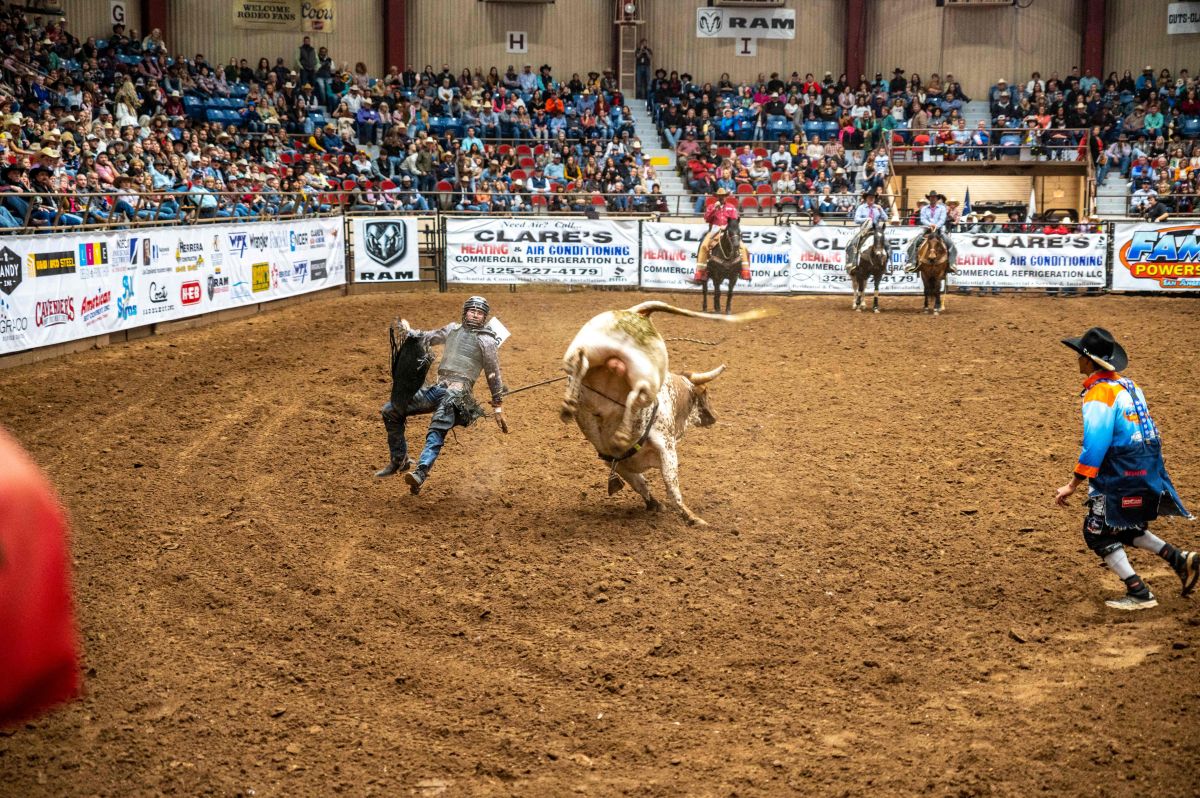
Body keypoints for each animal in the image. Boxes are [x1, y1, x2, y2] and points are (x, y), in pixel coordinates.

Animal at [556, 298, 763, 523]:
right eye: (706, 393)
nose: (714, 417)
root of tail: (636, 314)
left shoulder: (618, 463)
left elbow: (640, 484)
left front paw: (654, 504)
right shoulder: (667, 449)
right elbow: (671, 486)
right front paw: (692, 518)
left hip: (586, 350)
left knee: (581, 365)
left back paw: (570, 405)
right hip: (645, 374)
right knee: (635, 394)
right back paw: (618, 433)